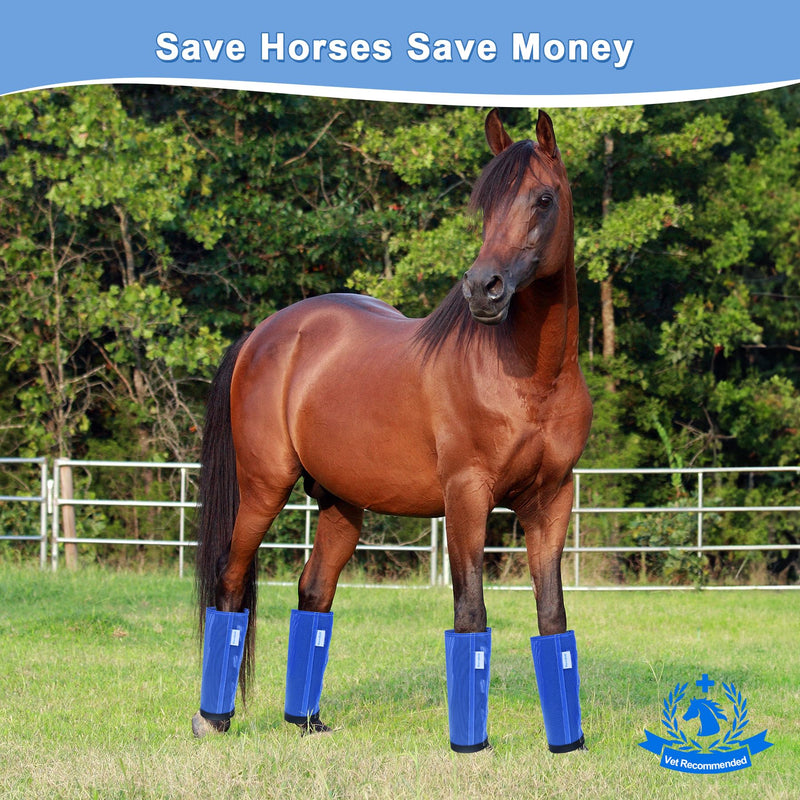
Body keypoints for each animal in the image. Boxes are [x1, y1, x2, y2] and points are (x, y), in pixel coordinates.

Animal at [192, 108, 593, 752]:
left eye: (543, 198)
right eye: (485, 205)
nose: (483, 288)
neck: (532, 377)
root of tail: (263, 334)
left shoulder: (552, 499)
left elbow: (553, 620)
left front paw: (568, 745)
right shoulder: (467, 496)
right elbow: (471, 616)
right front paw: (471, 747)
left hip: (340, 503)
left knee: (314, 593)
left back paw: (307, 723)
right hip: (264, 487)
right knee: (230, 583)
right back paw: (213, 718)